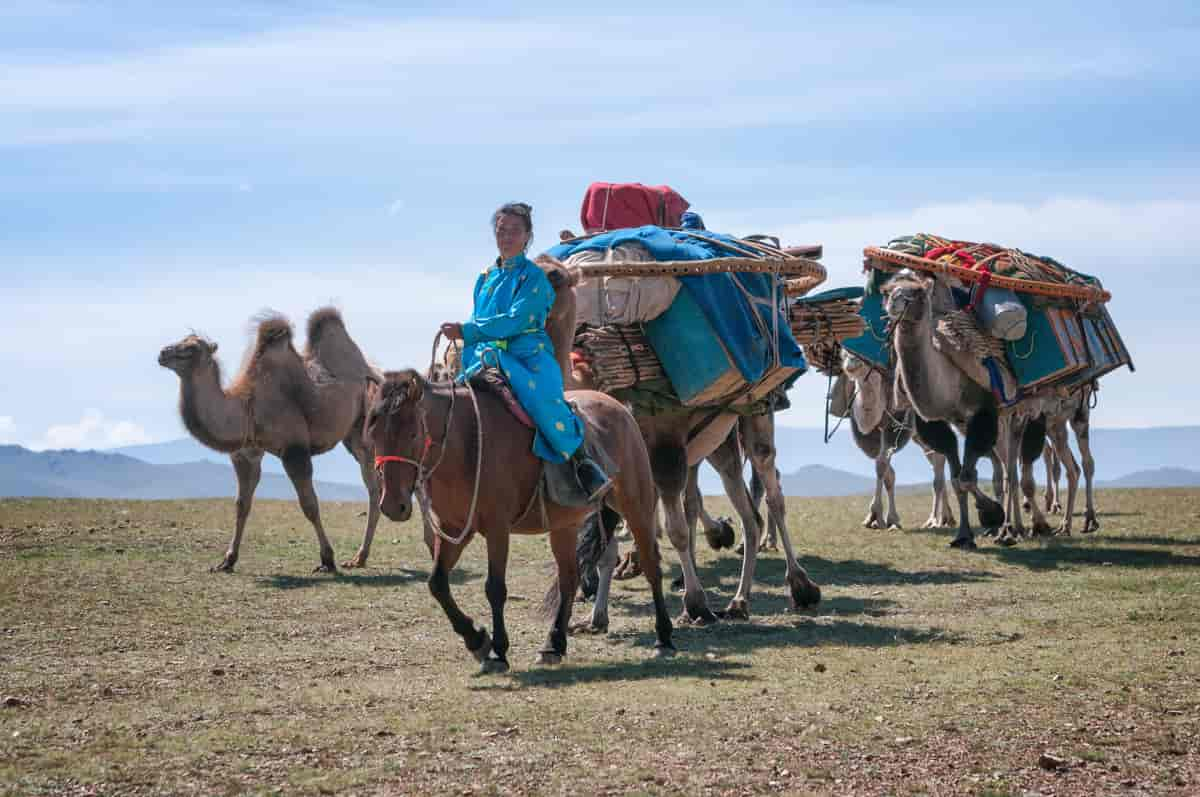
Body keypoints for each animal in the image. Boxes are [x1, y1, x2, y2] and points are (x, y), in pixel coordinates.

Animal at [156, 306, 379, 573]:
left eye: (190, 348)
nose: (162, 353)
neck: (247, 407)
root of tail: (373, 370)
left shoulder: (295, 451)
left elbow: (310, 505)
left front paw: (327, 560)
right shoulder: (245, 453)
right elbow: (241, 505)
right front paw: (227, 560)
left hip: (366, 429)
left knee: (374, 486)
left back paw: (360, 556)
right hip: (351, 436)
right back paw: (360, 557)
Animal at [364, 369, 676, 667]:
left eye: (413, 435)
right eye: (374, 435)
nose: (393, 505)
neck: (468, 443)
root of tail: (620, 408)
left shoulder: (497, 529)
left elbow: (495, 588)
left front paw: (498, 652)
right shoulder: (456, 529)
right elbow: (437, 584)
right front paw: (477, 640)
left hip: (636, 506)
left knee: (651, 565)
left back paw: (664, 638)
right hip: (565, 525)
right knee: (569, 578)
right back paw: (553, 645)